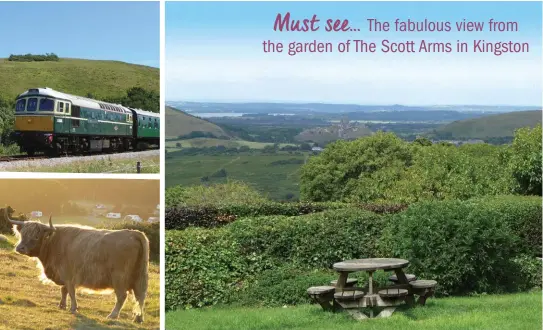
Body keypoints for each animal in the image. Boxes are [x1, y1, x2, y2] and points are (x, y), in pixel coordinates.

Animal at [6, 211, 151, 322]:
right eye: (23, 234)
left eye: (36, 236)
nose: (20, 248)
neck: (53, 242)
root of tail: (134, 233)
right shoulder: (64, 275)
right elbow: (63, 290)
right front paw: (62, 305)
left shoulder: (69, 275)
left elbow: (70, 291)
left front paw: (73, 308)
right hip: (138, 277)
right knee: (140, 296)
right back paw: (138, 318)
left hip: (119, 278)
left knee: (122, 296)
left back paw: (112, 315)